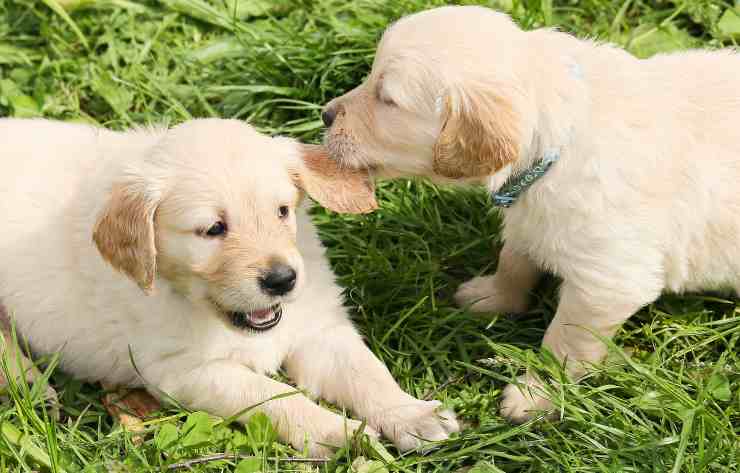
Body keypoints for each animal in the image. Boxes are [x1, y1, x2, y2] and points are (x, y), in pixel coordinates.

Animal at [0, 118, 460, 454]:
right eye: (213, 229)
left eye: (282, 211)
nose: (282, 280)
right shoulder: (185, 371)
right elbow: (273, 394)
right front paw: (336, 433)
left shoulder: (318, 328)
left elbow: (367, 373)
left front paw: (412, 415)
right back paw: (29, 385)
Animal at [320, 5, 740, 420]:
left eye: (387, 99)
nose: (325, 114)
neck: (559, 142)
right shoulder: (528, 217)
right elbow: (514, 261)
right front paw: (493, 298)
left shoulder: (606, 281)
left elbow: (565, 343)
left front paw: (537, 395)